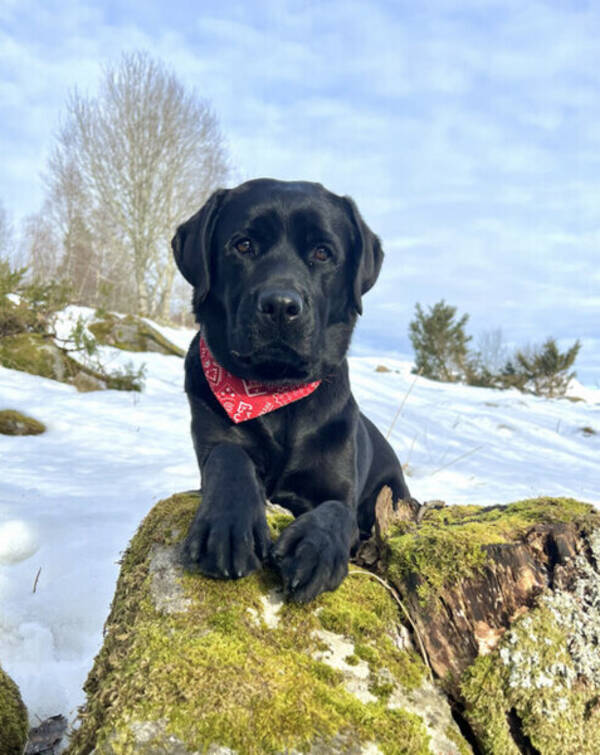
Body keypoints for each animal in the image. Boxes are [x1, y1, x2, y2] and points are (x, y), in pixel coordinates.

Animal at [171, 177, 410, 604]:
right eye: (244, 245)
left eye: (322, 252)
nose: (281, 305)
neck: (273, 393)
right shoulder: (212, 446)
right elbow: (229, 456)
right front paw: (229, 526)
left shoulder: (338, 488)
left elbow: (338, 511)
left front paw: (315, 549)